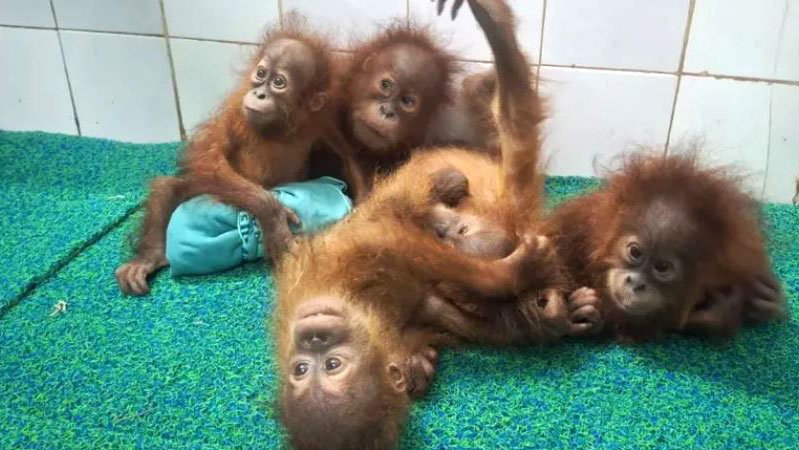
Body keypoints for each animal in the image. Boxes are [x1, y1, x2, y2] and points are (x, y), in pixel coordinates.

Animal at [115, 20, 337, 295]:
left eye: (279, 82)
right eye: (261, 74)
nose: (259, 94)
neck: (278, 129)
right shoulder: (235, 113)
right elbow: (207, 157)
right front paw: (273, 216)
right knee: (168, 188)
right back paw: (149, 258)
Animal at [273, 2, 599, 448]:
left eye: (332, 364)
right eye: (302, 370)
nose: (313, 336)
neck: (362, 309)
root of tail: (518, 211)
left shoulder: (340, 265)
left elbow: (390, 236)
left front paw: (517, 275)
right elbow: (442, 302)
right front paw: (542, 311)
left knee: (510, 123)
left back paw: (494, 30)